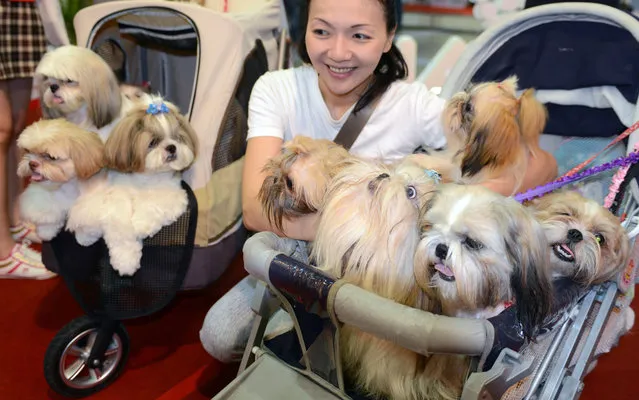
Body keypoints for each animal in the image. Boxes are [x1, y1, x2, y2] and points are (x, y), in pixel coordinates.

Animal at [66, 95, 199, 276]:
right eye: (153, 142)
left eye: (178, 138)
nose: (172, 147)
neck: (147, 178)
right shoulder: (117, 198)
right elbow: (120, 227)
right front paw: (125, 261)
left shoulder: (175, 195)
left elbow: (154, 206)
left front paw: (140, 224)